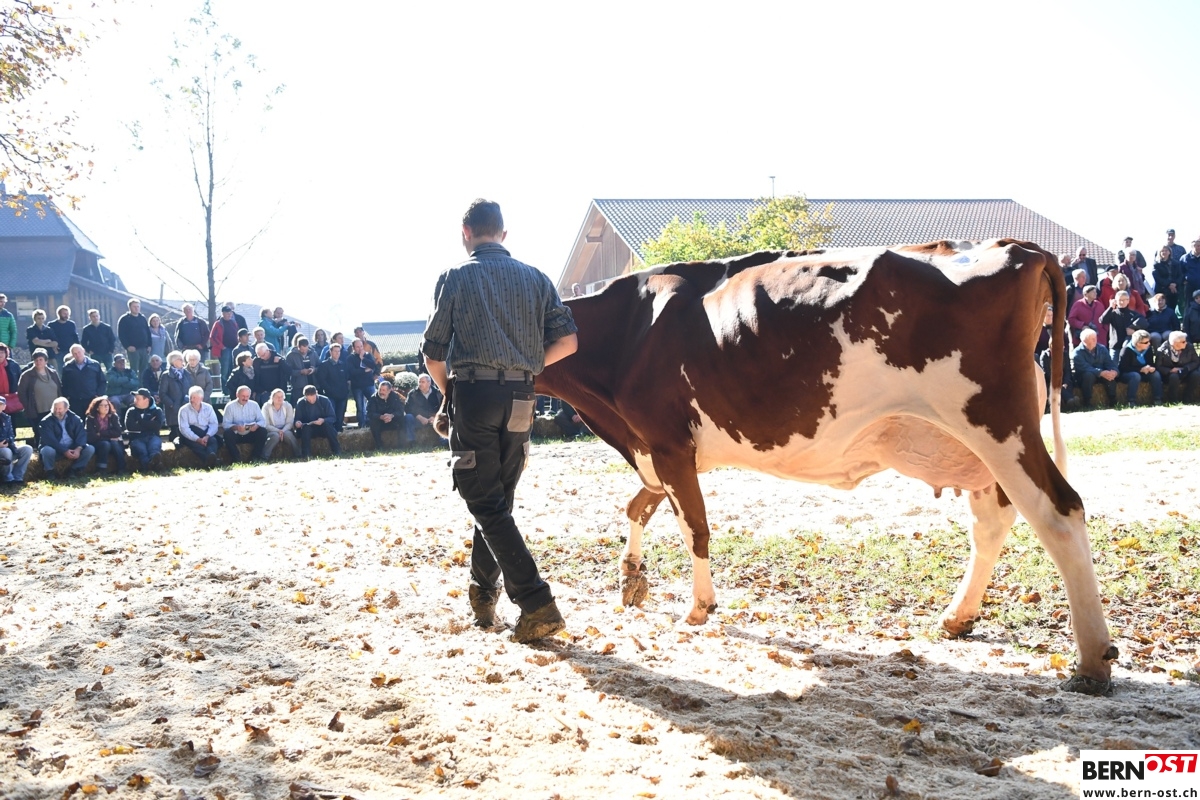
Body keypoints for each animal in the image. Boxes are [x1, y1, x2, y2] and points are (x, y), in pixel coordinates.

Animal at [532, 239, 1117, 695]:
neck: (629, 332)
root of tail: (1016, 248)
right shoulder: (654, 450)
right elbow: (638, 505)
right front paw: (631, 577)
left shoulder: (667, 442)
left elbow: (693, 525)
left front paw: (698, 607)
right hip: (976, 443)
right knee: (993, 521)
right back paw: (958, 617)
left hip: (997, 423)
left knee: (1060, 512)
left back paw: (1091, 660)